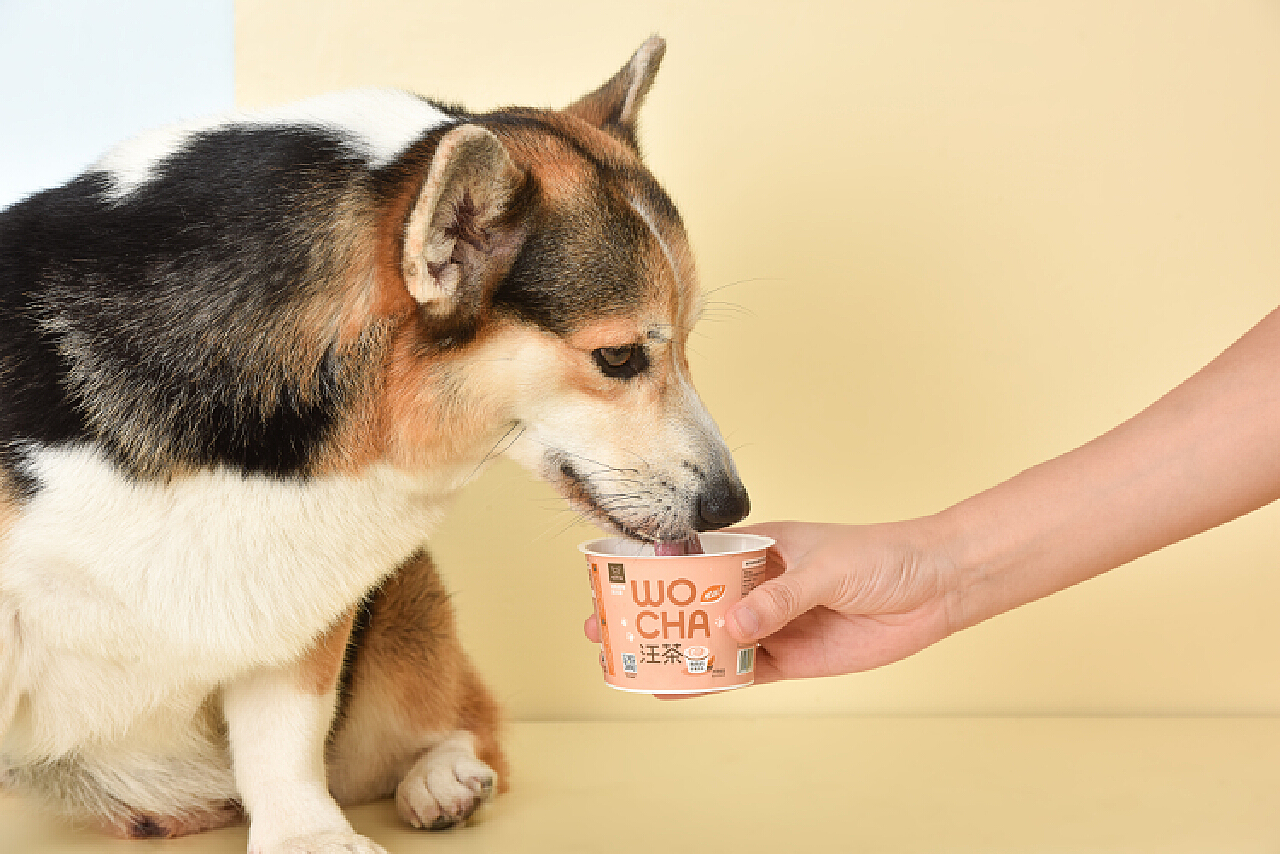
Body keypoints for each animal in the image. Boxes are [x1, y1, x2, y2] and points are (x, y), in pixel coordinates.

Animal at [0, 38, 747, 854]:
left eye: (687, 344)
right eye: (617, 358)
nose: (731, 507)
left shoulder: (303, 604)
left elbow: (283, 734)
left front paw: (306, 838)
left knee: (466, 721)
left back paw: (442, 779)